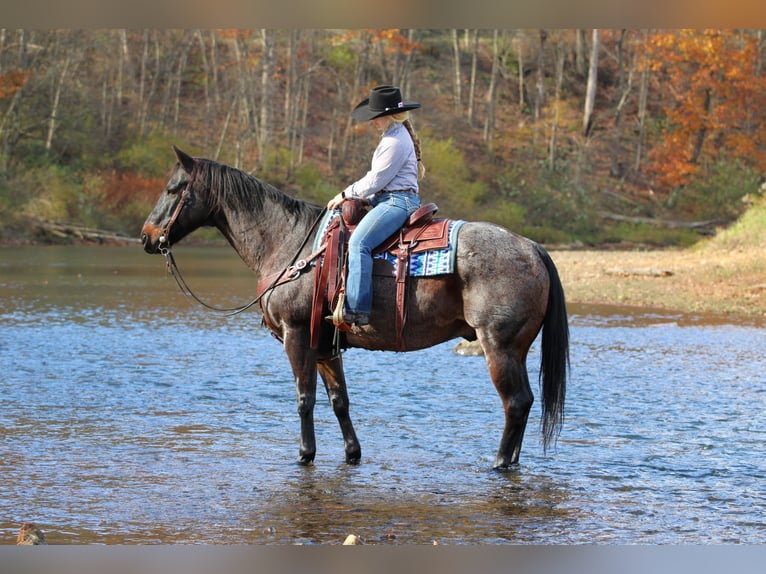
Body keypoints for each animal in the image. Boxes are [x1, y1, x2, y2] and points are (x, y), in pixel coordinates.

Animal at [141, 146, 569, 469]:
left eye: (174, 188)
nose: (146, 236)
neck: (288, 242)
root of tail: (531, 246)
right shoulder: (325, 343)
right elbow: (339, 401)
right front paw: (352, 453)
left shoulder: (298, 336)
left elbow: (304, 399)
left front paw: (304, 454)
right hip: (517, 348)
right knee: (525, 403)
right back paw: (511, 461)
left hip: (497, 345)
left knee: (515, 403)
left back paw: (498, 462)